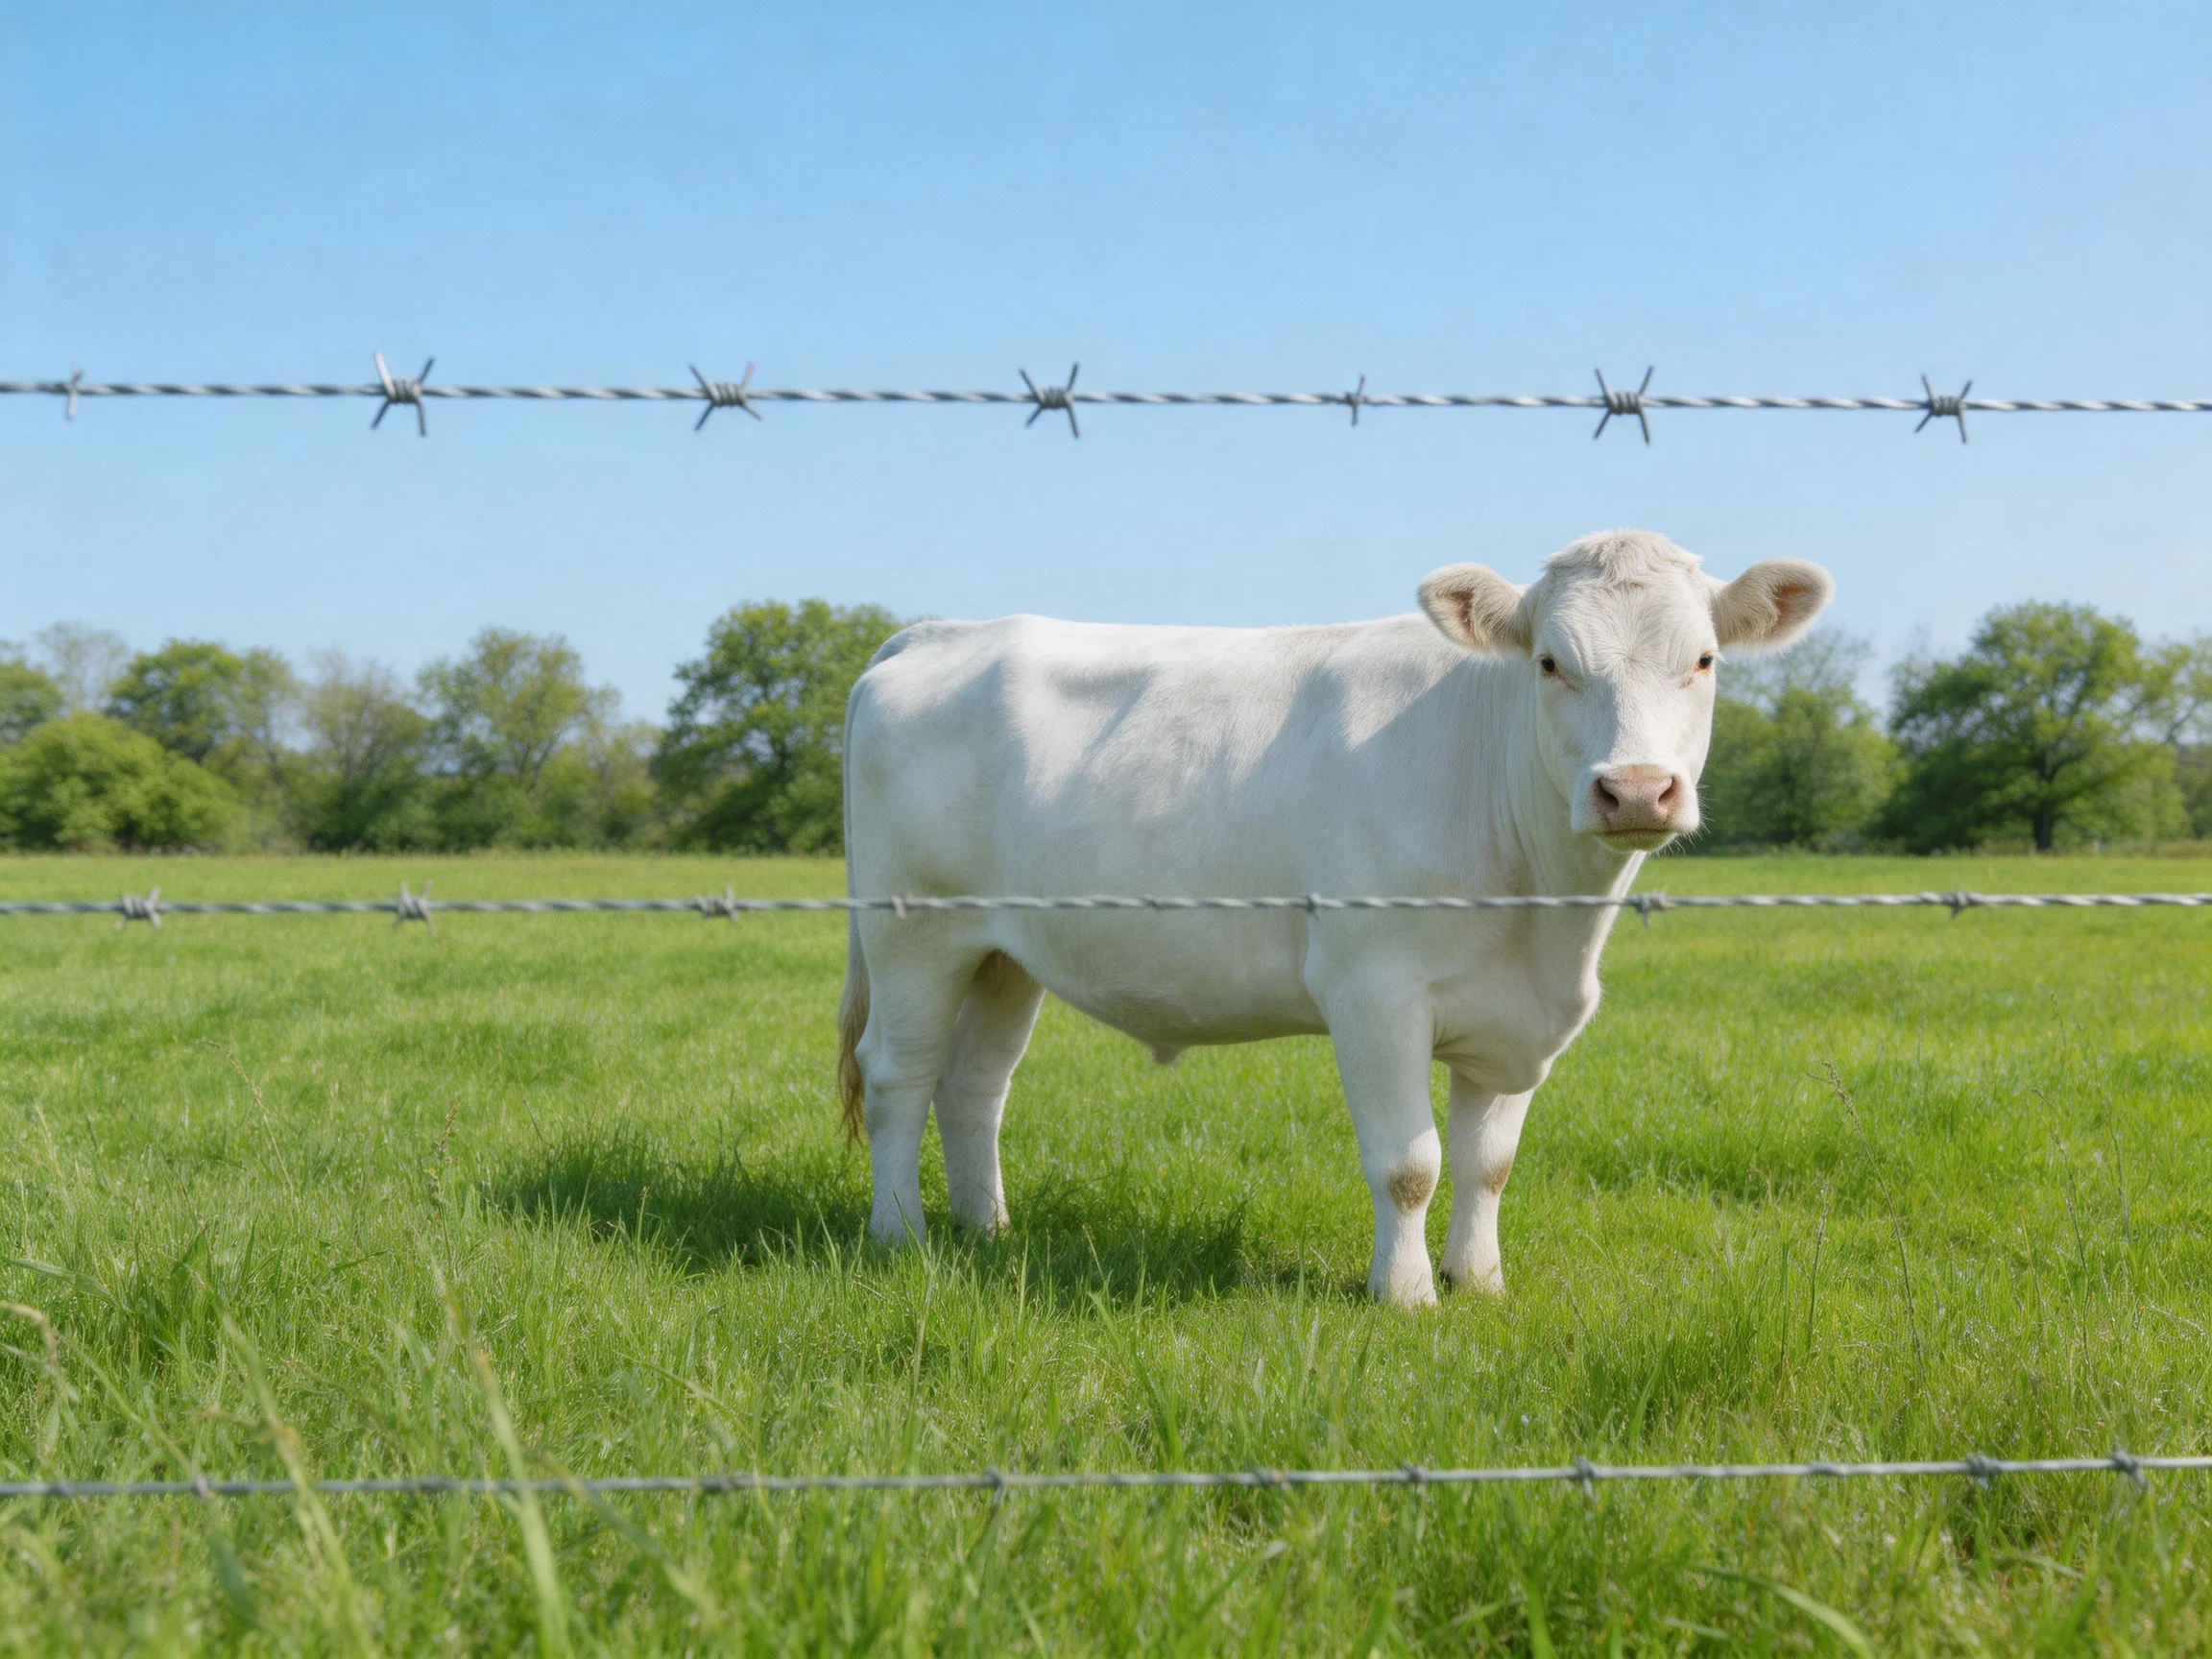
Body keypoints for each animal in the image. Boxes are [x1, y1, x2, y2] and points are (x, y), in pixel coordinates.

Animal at [835, 529, 1832, 1306]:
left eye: (1703, 660)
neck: (1548, 920)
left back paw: (987, 1230)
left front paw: (1481, 1282)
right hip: (914, 932)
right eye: (1550, 662)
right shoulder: (1373, 991)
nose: (1633, 790)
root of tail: (936, 634)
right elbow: (1409, 1163)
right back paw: (899, 1234)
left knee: (973, 1085)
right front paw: (1407, 1294)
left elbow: (1489, 1162)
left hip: (1003, 953)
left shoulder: (1516, 1017)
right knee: (896, 1074)